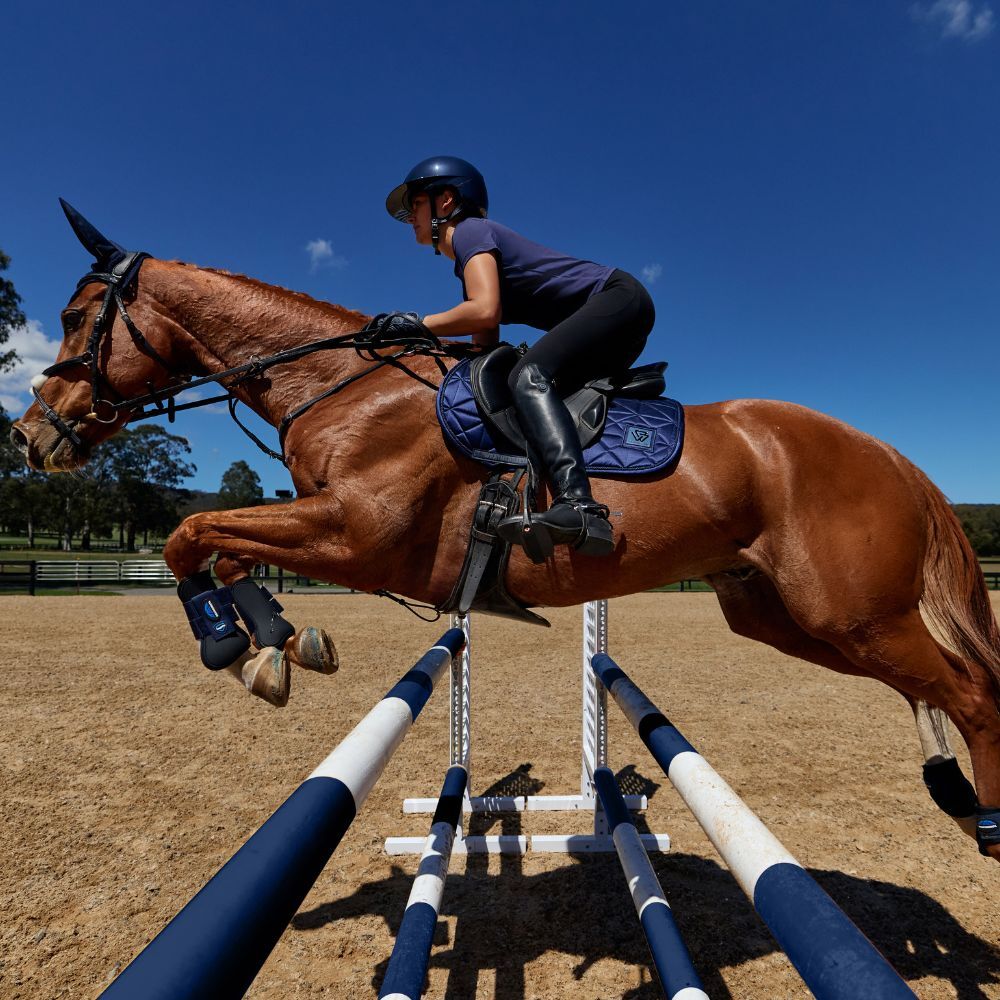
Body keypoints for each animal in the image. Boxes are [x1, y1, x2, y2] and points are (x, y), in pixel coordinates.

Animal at [11, 204, 1000, 862]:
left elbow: (191, 532)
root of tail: (886, 452)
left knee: (973, 693)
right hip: (787, 618)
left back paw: (987, 822)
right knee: (942, 690)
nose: (30, 436)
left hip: (853, 615)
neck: (342, 386)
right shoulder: (328, 530)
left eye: (74, 319)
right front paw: (278, 644)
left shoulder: (358, 534)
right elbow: (216, 542)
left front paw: (233, 645)